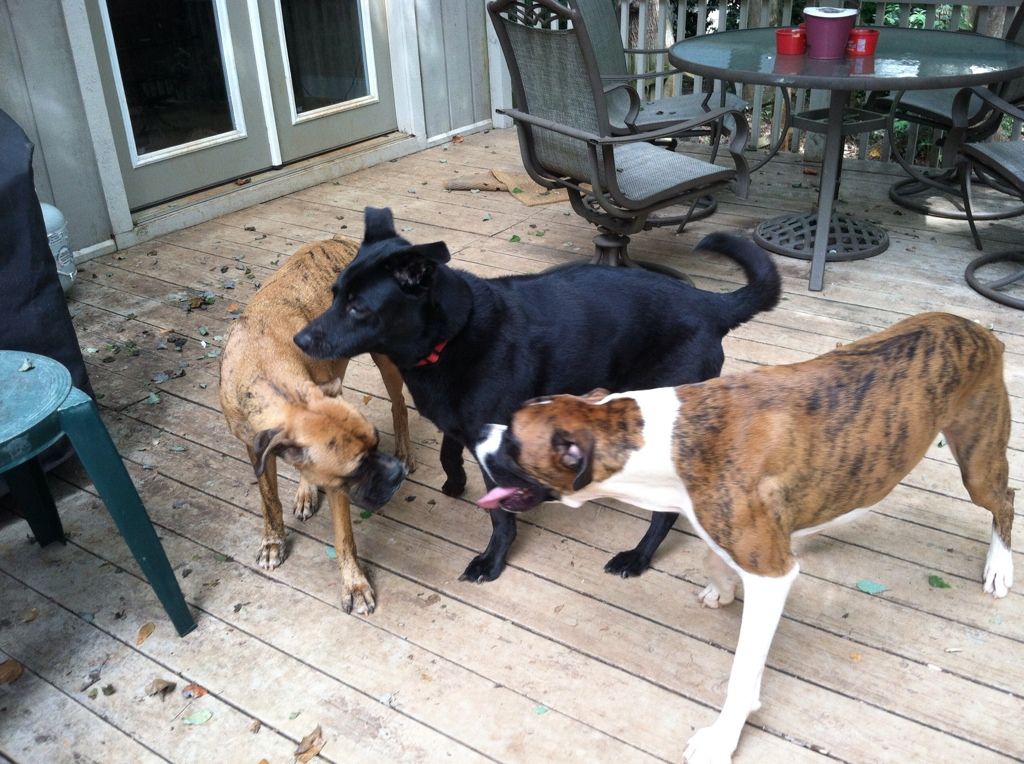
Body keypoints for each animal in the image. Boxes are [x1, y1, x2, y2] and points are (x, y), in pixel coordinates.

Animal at [222, 237, 413, 614]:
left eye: (376, 441)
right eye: (357, 469)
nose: (396, 474)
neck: (266, 369)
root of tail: (341, 240)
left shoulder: (337, 487)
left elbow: (344, 538)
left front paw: (354, 584)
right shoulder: (255, 447)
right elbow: (269, 500)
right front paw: (273, 540)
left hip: (385, 358)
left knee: (399, 405)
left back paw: (405, 450)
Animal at [296, 205, 782, 581]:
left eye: (359, 307)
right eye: (334, 295)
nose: (298, 341)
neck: (452, 336)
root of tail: (709, 304)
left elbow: (499, 516)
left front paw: (492, 560)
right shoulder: (461, 424)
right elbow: (449, 452)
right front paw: (455, 481)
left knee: (666, 508)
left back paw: (638, 557)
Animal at [473, 311, 1015, 761]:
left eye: (513, 442)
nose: (477, 430)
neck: (663, 438)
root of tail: (978, 329)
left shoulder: (771, 576)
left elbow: (741, 674)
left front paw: (722, 738)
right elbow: (713, 554)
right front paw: (723, 585)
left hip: (978, 462)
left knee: (1005, 501)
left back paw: (999, 567)